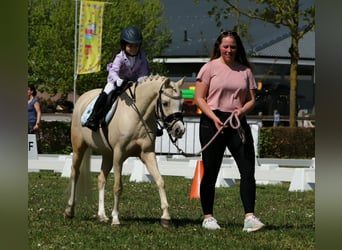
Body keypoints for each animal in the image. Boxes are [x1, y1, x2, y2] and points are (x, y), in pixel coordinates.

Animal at [65, 74, 186, 227]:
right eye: (165, 103)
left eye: (182, 104)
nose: (179, 130)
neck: (138, 115)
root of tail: (82, 98)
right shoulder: (119, 155)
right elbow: (118, 187)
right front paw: (116, 219)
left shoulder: (147, 154)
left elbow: (160, 181)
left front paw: (166, 217)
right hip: (79, 147)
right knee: (75, 173)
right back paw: (69, 210)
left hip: (107, 154)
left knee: (101, 179)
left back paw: (102, 215)